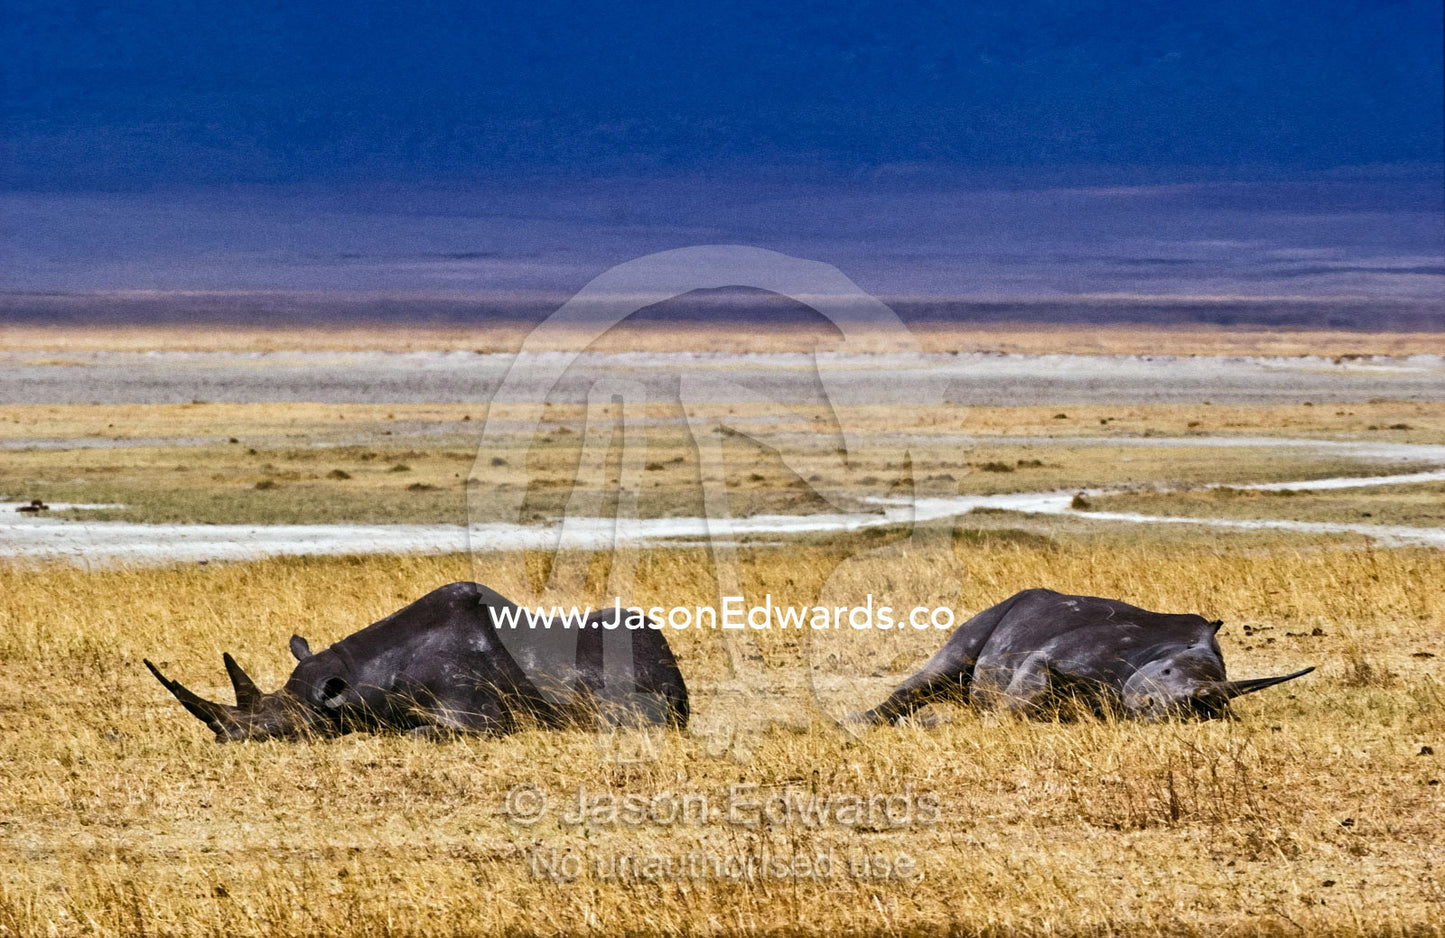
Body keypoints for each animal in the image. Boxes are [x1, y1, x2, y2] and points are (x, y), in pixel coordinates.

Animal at [858, 589, 1313, 723]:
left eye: (1199, 709)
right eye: (1165, 672)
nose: (1155, 705)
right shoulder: (1051, 655)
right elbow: (1019, 698)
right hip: (996, 614)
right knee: (939, 672)